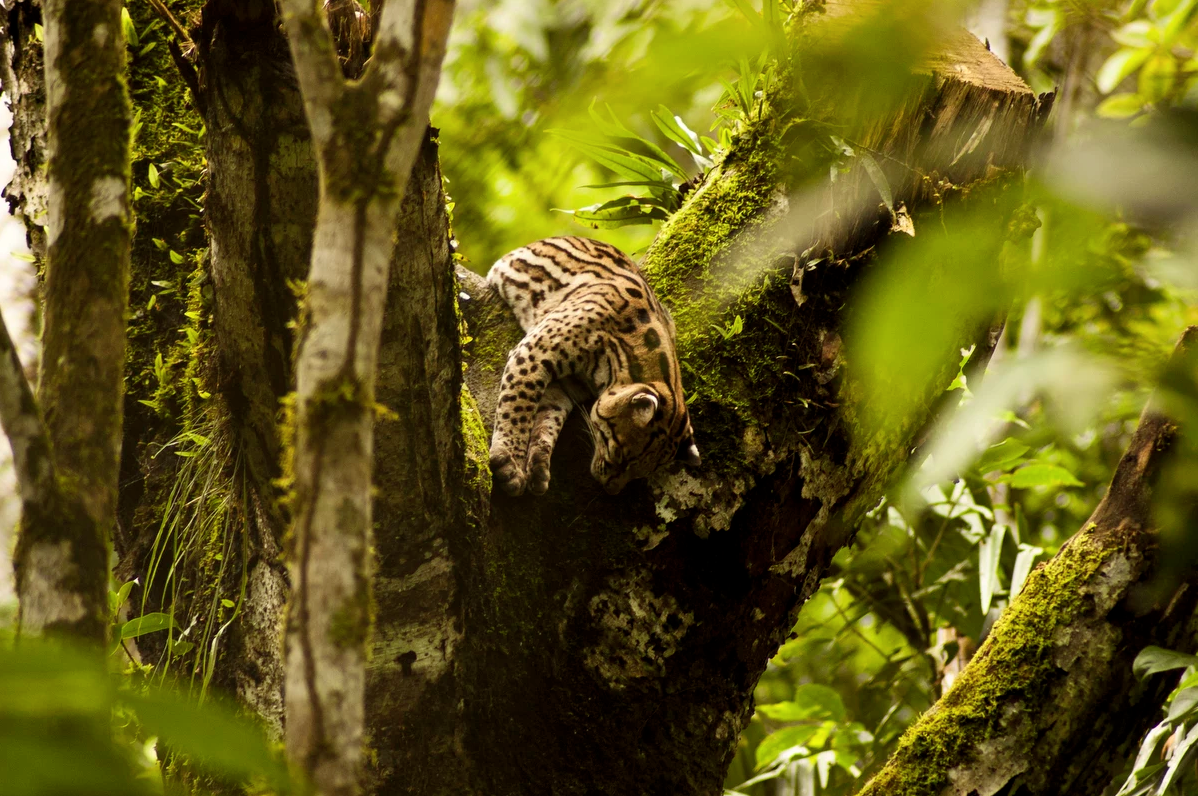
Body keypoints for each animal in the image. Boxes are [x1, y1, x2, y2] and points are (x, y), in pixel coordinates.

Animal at [486, 236, 699, 498]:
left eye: (641, 473)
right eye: (620, 455)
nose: (611, 489)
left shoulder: (566, 384)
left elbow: (549, 416)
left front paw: (538, 463)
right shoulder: (534, 350)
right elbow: (517, 407)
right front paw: (510, 460)